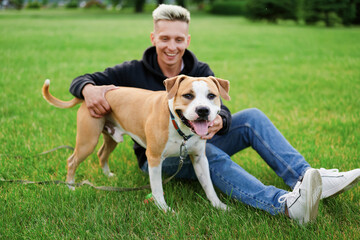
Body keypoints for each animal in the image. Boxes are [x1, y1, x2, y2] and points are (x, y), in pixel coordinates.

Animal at [42, 75, 232, 212]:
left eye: (211, 96)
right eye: (188, 95)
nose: (203, 110)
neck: (179, 126)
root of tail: (92, 92)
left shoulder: (200, 158)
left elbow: (208, 185)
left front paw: (219, 206)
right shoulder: (154, 158)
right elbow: (157, 188)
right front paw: (164, 209)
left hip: (111, 137)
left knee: (102, 154)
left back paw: (107, 175)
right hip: (87, 141)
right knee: (72, 160)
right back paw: (70, 186)